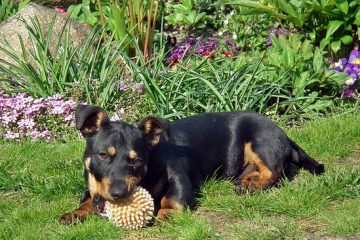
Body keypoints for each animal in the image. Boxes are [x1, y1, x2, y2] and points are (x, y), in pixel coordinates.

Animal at [60, 104, 324, 224]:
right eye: (102, 155)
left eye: (137, 161)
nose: (118, 194)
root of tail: (284, 134)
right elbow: (86, 198)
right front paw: (75, 213)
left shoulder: (180, 176)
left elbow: (174, 198)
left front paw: (165, 214)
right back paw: (246, 181)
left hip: (260, 139)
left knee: (277, 171)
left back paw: (253, 185)